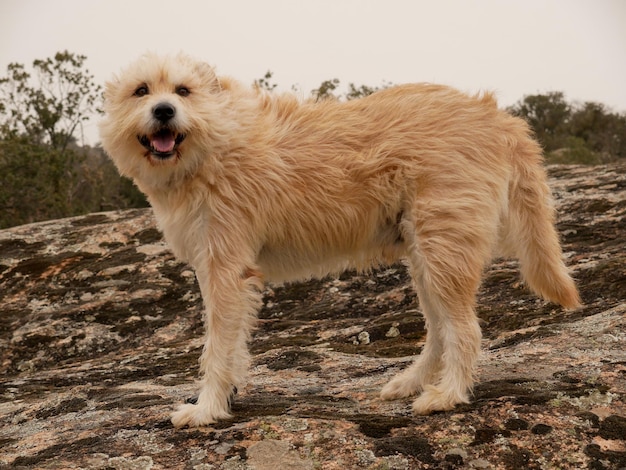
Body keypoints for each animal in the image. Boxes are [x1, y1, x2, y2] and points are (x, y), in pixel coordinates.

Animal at [98, 53, 580, 428]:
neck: (212, 145)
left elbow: (216, 347)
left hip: (443, 250)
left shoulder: (226, 269)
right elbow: (231, 346)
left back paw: (447, 395)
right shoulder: (223, 271)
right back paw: (412, 382)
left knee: (464, 329)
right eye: (141, 91)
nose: (164, 111)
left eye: (183, 90)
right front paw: (227, 397)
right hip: (425, 256)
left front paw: (206, 409)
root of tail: (495, 115)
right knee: (440, 329)